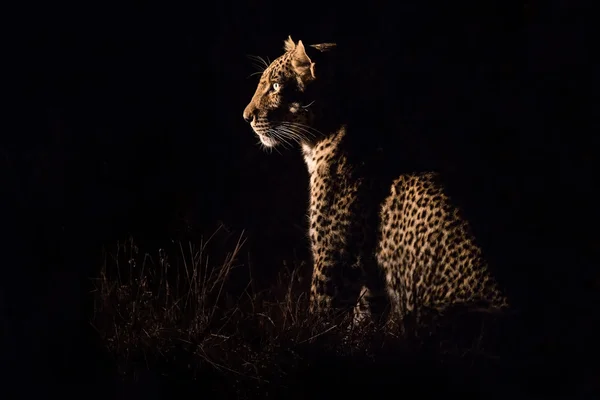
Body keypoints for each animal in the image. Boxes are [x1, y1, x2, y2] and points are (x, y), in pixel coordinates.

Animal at [241, 36, 508, 332]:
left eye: (276, 86)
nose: (246, 117)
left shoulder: (334, 256)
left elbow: (321, 312)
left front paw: (309, 337)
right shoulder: (371, 273)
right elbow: (363, 314)